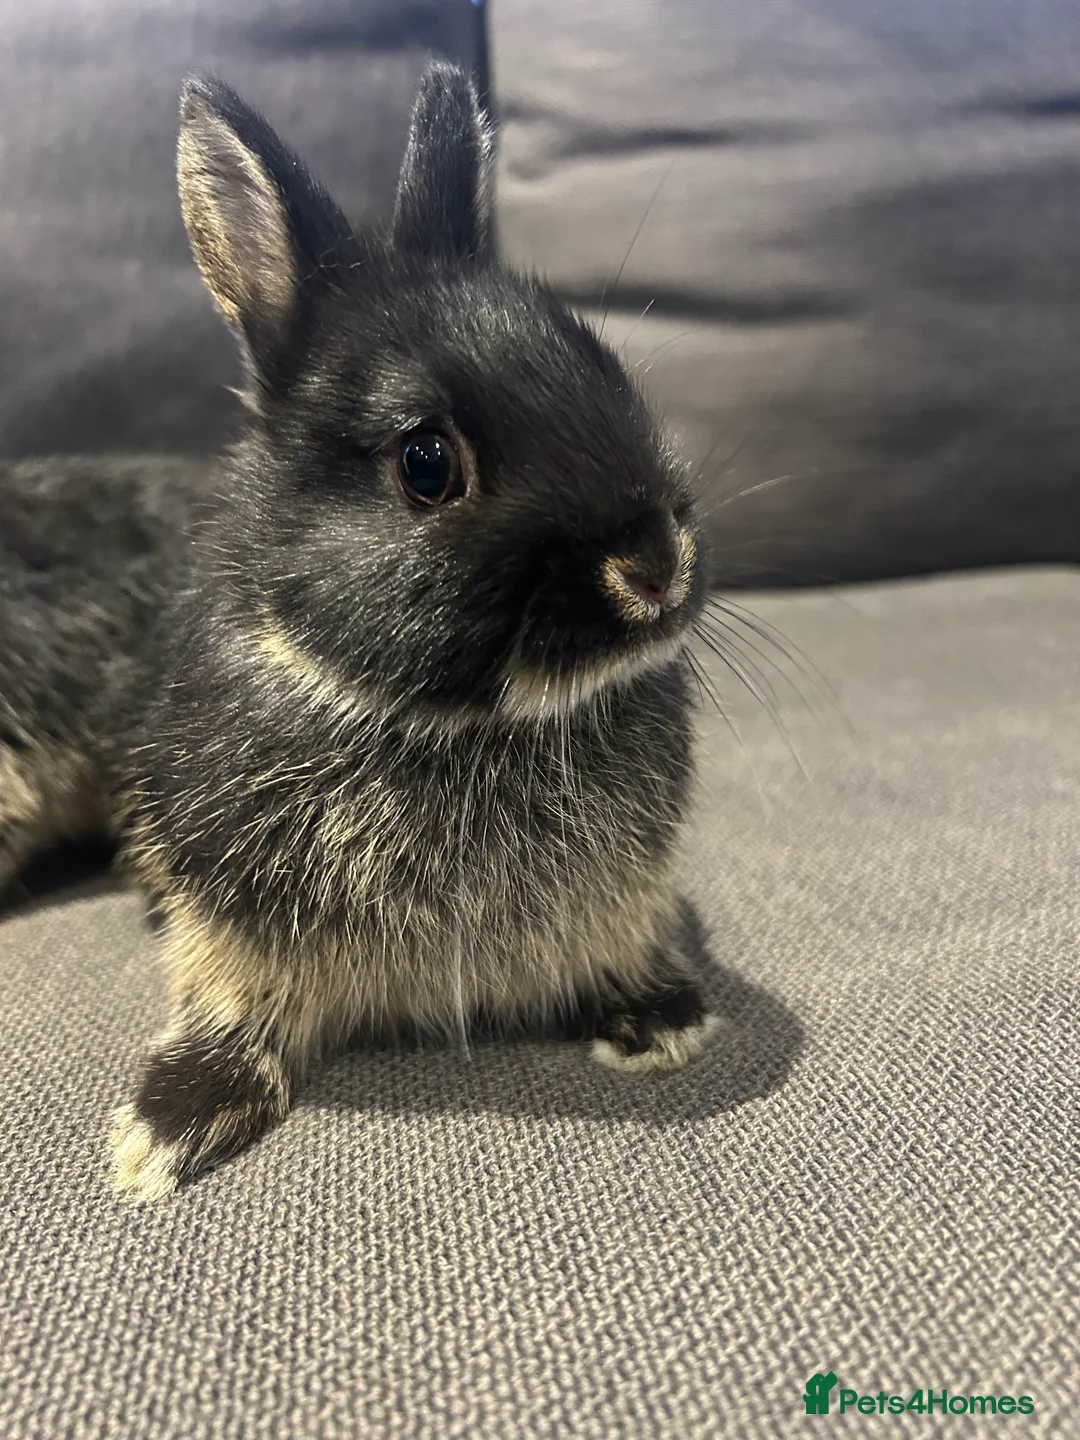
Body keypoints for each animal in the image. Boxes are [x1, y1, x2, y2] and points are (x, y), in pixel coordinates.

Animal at [0, 62, 720, 1202]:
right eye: (426, 463)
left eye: (600, 362)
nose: (656, 568)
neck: (448, 724)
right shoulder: (229, 927)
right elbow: (228, 1004)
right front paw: (167, 1129)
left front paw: (664, 1022)